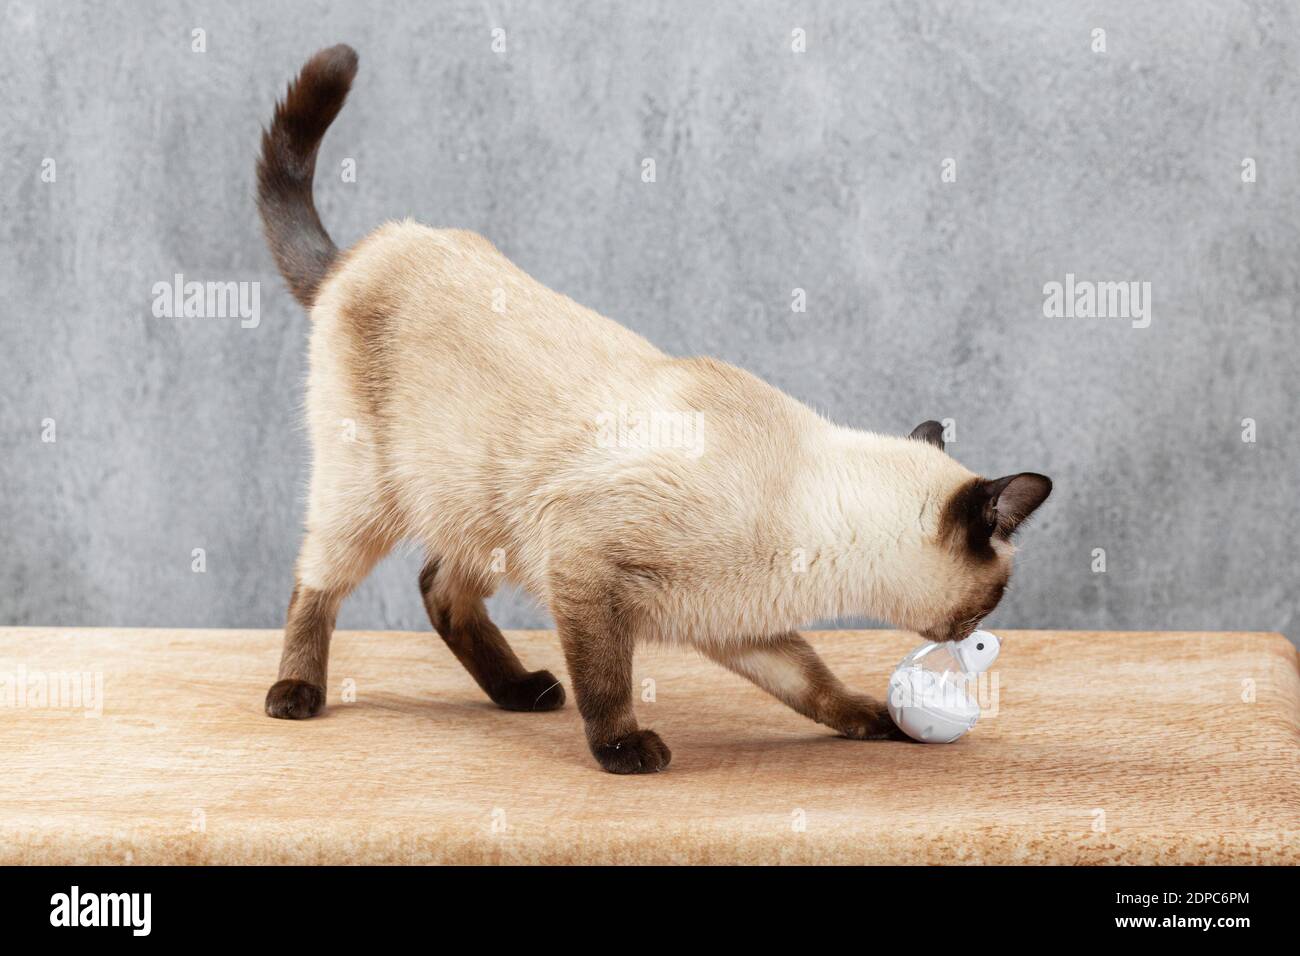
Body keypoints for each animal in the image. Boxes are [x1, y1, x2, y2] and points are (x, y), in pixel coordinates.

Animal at [258, 46, 1050, 780]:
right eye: (994, 600)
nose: (980, 635)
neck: (815, 543)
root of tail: (362, 252)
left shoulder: (739, 624)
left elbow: (812, 682)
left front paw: (873, 718)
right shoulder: (583, 567)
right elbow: (608, 681)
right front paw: (624, 750)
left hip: (484, 515)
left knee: (438, 589)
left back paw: (522, 692)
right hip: (371, 495)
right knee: (316, 583)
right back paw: (296, 694)